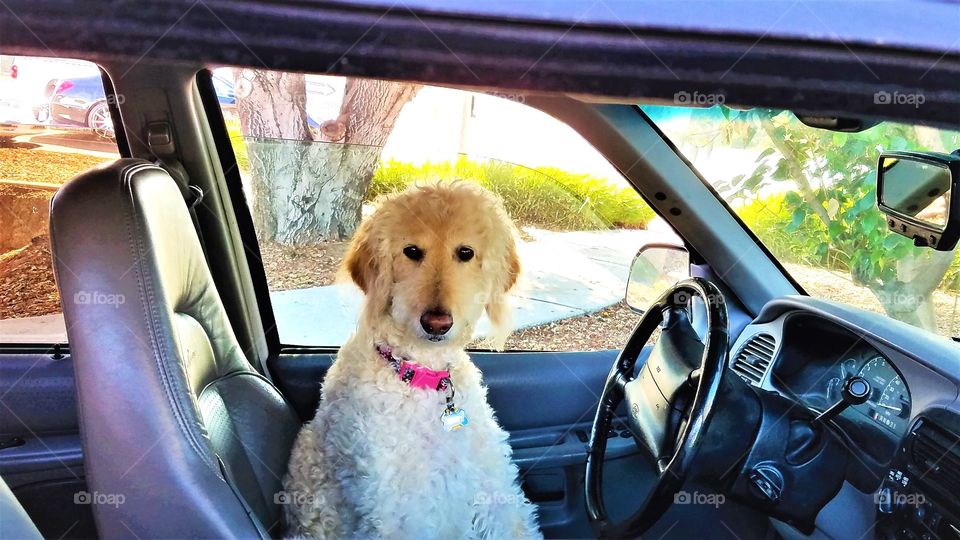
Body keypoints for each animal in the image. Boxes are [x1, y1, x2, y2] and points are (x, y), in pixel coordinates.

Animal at [284, 182, 540, 540]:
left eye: (465, 253)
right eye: (412, 251)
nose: (436, 323)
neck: (420, 375)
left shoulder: (494, 486)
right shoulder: (398, 512)